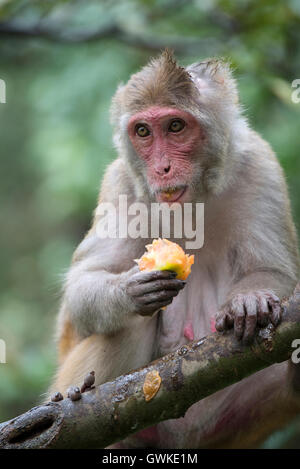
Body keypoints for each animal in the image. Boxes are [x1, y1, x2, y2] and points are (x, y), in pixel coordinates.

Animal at [48, 49, 298, 448]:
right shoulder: (121, 183)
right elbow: (83, 284)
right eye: (143, 132)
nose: (162, 168)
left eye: (176, 126)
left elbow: (273, 269)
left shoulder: (260, 164)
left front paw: (250, 301)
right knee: (130, 326)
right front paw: (128, 292)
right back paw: (79, 398)